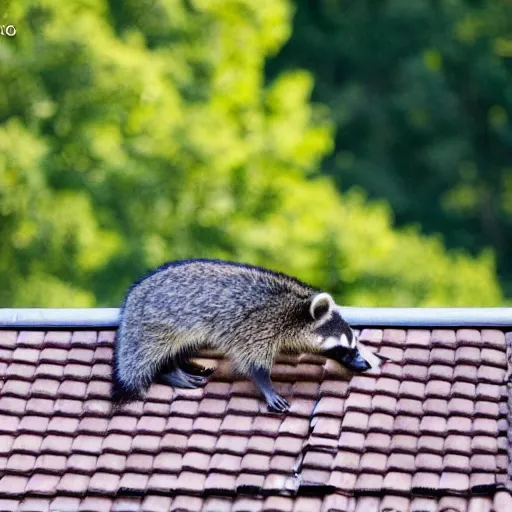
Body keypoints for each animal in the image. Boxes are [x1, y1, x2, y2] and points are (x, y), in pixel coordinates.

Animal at [113, 260, 376, 412]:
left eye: (355, 345)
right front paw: (266, 385)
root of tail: (133, 298)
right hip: (156, 324)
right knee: (153, 351)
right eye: (343, 348)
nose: (364, 364)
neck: (298, 309)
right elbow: (253, 360)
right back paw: (169, 370)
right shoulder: (259, 324)